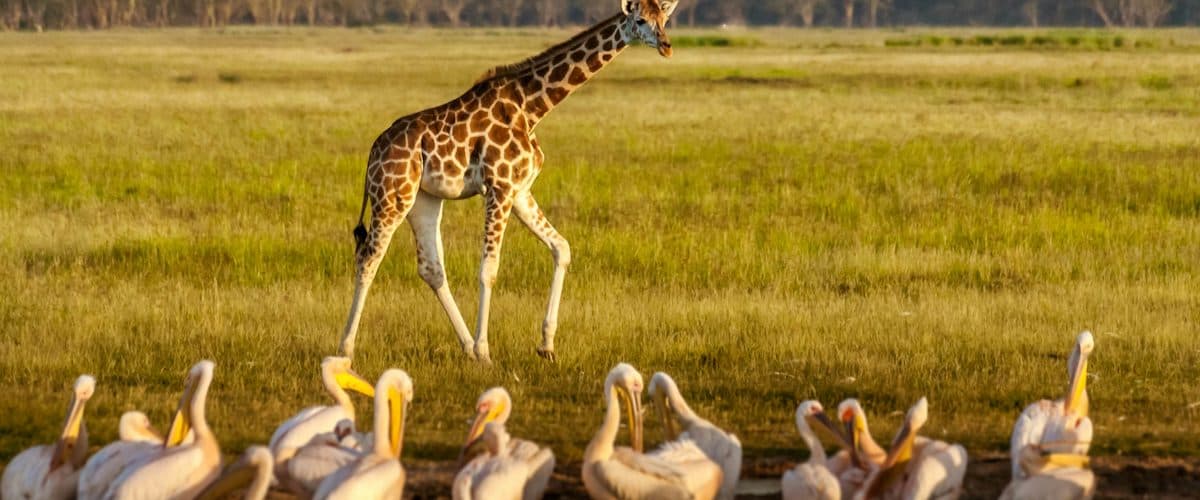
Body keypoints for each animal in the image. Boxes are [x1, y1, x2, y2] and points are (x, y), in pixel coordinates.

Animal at [338, 0, 681, 363]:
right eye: (640, 20)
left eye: (664, 18)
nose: (666, 45)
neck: (532, 108)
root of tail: (373, 153)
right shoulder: (499, 187)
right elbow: (489, 268)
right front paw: (486, 350)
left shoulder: (520, 190)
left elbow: (562, 248)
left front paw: (546, 345)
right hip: (392, 196)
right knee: (368, 258)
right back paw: (346, 349)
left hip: (423, 199)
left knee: (431, 268)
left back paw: (465, 347)